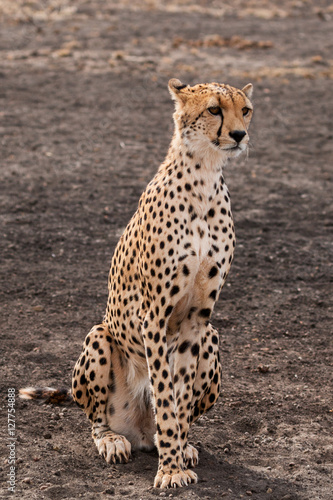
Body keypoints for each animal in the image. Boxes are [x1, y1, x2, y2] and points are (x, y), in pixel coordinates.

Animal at [21, 80, 254, 490]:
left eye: (246, 110)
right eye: (214, 109)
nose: (240, 135)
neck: (205, 179)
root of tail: (140, 432)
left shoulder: (197, 320)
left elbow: (177, 399)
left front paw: (176, 456)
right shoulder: (154, 317)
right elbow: (165, 394)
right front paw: (171, 469)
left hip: (213, 336)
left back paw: (180, 443)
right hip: (99, 335)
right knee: (95, 419)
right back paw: (113, 440)